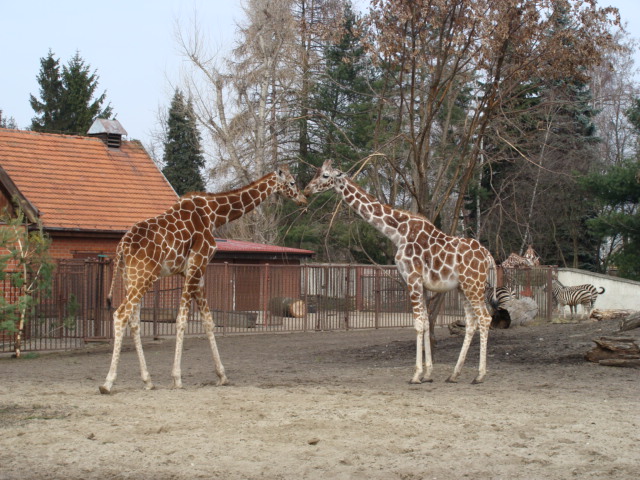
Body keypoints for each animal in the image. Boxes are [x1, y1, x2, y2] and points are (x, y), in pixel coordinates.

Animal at [99, 166, 307, 394]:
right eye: (292, 182)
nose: (304, 199)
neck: (214, 214)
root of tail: (122, 246)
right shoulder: (197, 265)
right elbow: (182, 320)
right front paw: (177, 378)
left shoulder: (195, 274)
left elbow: (208, 320)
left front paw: (222, 376)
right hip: (143, 276)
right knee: (120, 315)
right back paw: (107, 383)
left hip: (131, 277)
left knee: (134, 320)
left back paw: (148, 381)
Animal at [304, 160, 496, 383]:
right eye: (317, 172)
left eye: (325, 175)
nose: (307, 189)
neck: (398, 233)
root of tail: (488, 256)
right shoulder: (420, 283)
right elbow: (426, 322)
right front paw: (428, 373)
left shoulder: (412, 278)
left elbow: (418, 324)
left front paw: (416, 375)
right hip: (463, 288)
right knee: (472, 322)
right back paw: (454, 374)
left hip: (473, 285)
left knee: (485, 318)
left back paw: (479, 375)